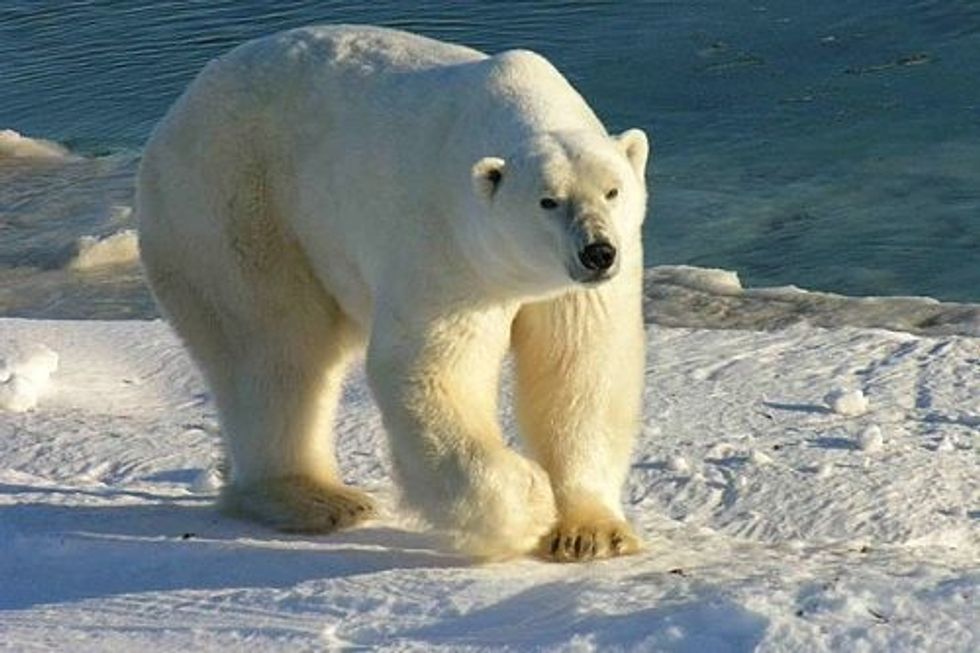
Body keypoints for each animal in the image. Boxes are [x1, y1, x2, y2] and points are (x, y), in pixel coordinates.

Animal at [137, 25, 649, 562]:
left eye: (612, 191)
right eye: (548, 201)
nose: (598, 252)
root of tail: (178, 111)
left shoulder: (579, 287)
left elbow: (582, 367)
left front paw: (591, 533)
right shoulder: (449, 247)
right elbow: (432, 367)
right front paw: (529, 504)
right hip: (235, 205)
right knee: (273, 346)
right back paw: (316, 498)